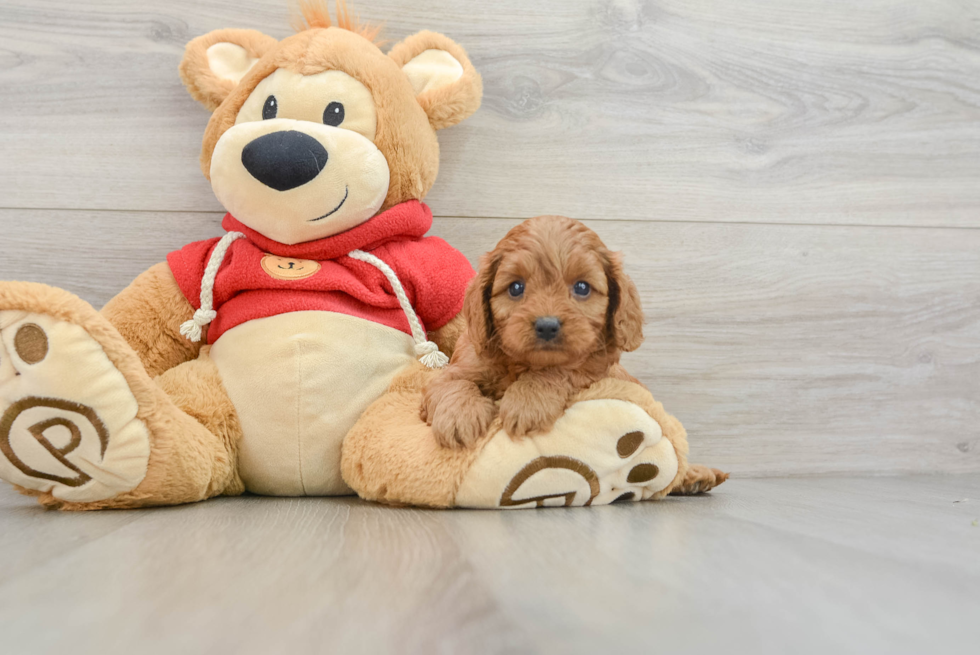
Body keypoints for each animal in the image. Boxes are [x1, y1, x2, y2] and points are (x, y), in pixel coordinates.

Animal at [420, 218, 644, 448]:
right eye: (516, 287)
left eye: (582, 287)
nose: (547, 326)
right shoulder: (454, 370)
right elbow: (453, 383)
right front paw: (459, 416)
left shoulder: (593, 370)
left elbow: (559, 370)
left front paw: (527, 401)